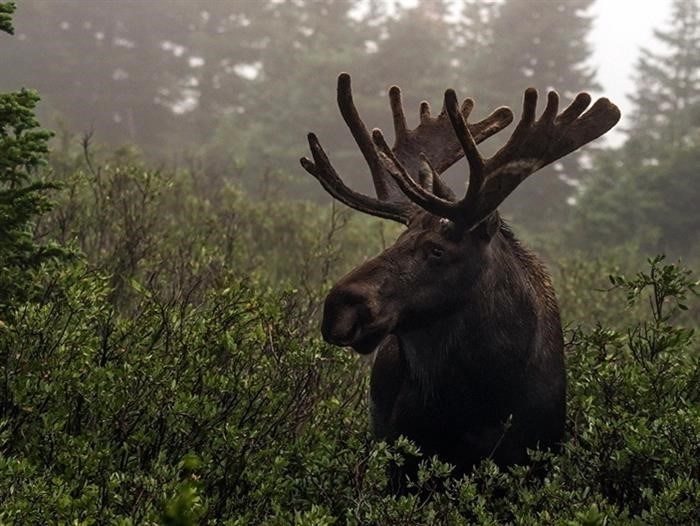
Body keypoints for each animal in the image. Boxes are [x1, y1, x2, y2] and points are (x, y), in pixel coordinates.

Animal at [300, 73, 616, 482]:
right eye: (398, 240)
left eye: (437, 249)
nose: (339, 307)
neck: (480, 400)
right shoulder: (404, 455)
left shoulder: (533, 458)